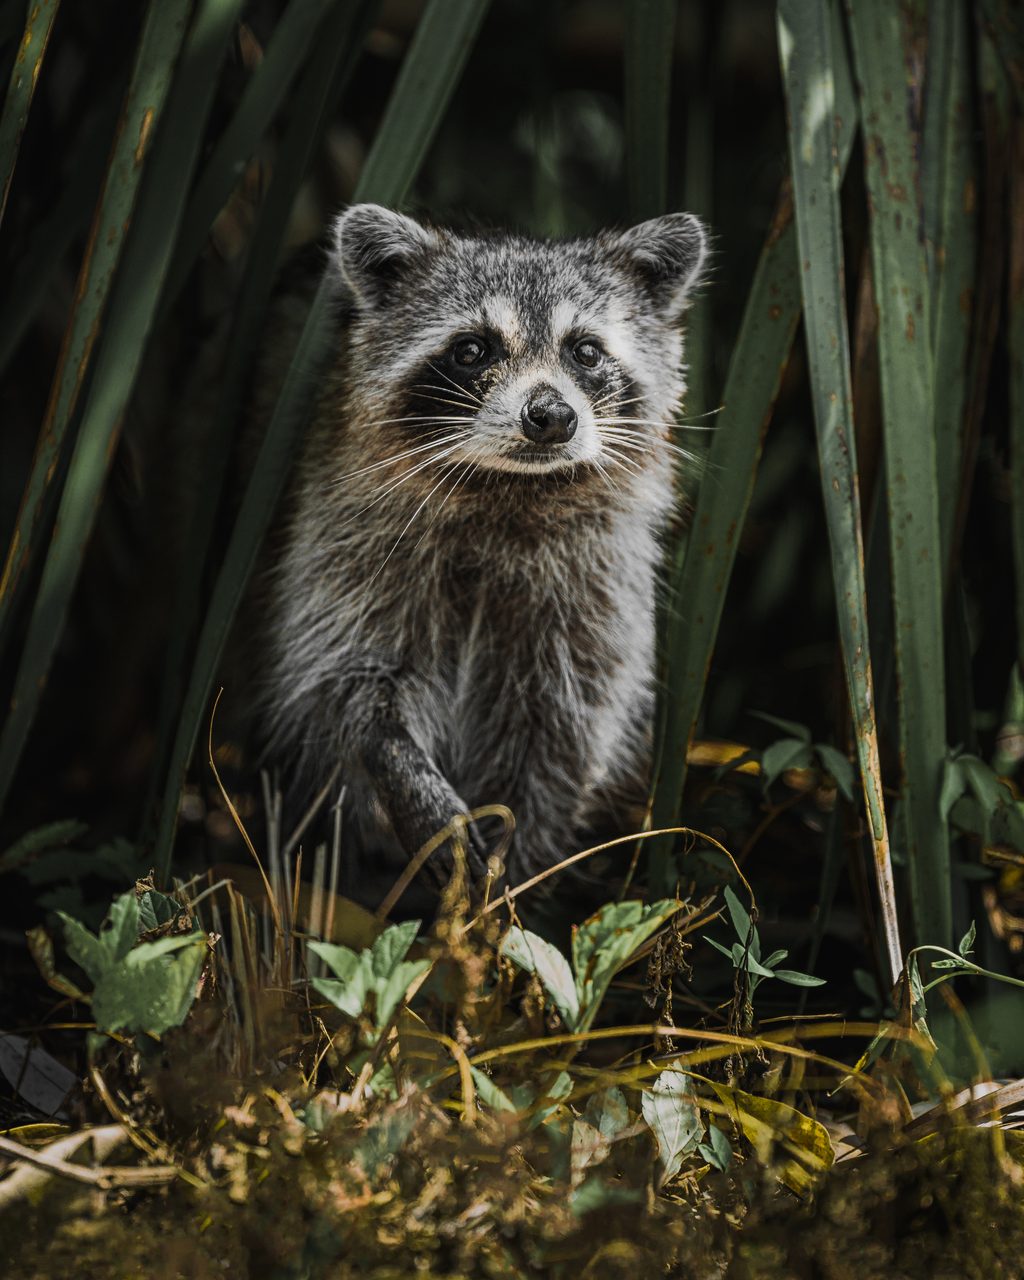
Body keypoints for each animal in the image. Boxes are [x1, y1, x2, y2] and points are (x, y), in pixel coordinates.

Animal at [245, 203, 707, 892]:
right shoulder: (348, 540)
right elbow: (351, 682)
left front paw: (514, 884)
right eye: (472, 349)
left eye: (586, 351)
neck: (509, 490)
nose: (552, 416)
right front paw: (412, 785)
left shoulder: (594, 587)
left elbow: (558, 737)